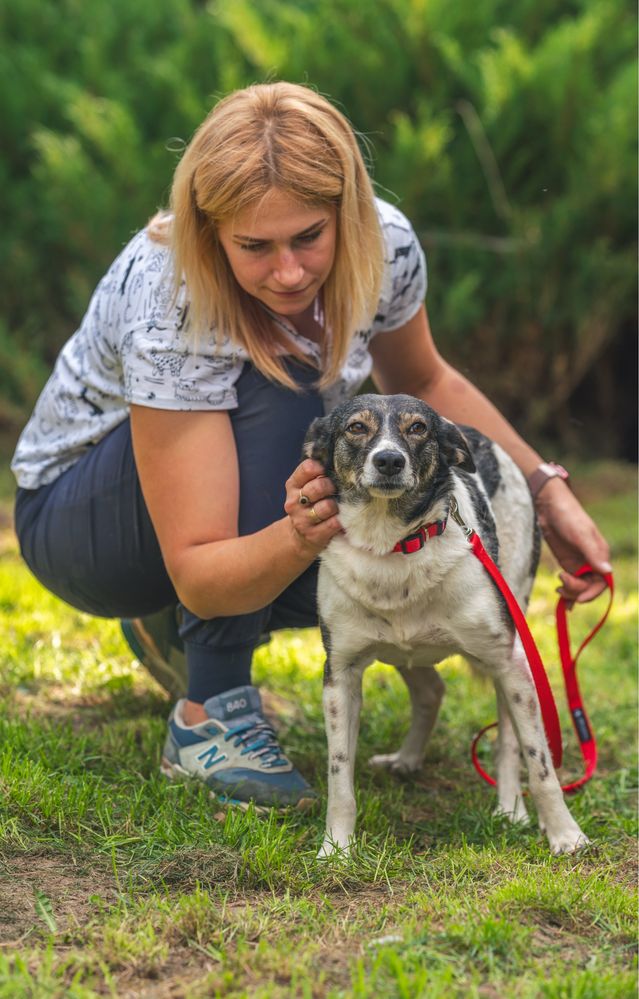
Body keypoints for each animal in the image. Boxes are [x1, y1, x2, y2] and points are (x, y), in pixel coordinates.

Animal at [304, 394, 592, 856]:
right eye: (356, 428)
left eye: (418, 428)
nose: (389, 460)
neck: (392, 545)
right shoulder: (340, 673)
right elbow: (339, 774)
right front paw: (336, 848)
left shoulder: (510, 659)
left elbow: (540, 763)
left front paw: (566, 835)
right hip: (402, 651)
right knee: (431, 692)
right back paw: (407, 759)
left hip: (513, 650)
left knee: (508, 741)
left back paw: (510, 809)